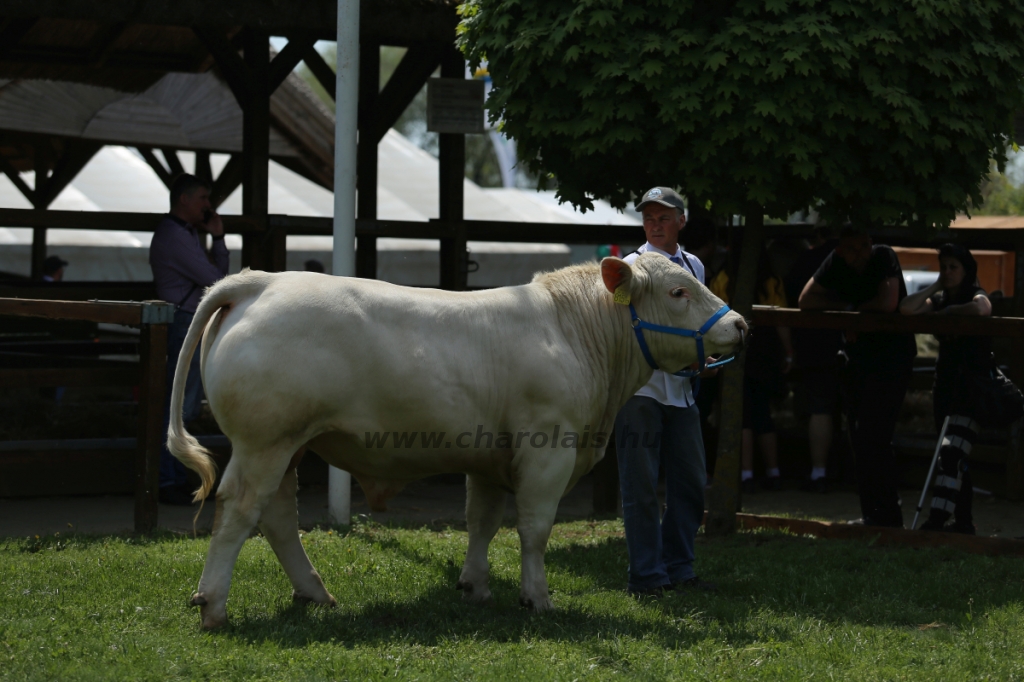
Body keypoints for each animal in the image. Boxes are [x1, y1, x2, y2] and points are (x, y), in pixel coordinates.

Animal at [167, 253, 745, 626]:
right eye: (678, 291)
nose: (740, 323)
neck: (573, 331)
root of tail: (260, 281)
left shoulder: (488, 457)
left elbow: (481, 522)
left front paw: (475, 587)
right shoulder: (548, 448)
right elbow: (534, 529)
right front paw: (537, 598)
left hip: (289, 446)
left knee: (278, 516)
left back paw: (314, 593)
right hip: (266, 442)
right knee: (241, 509)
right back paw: (213, 604)